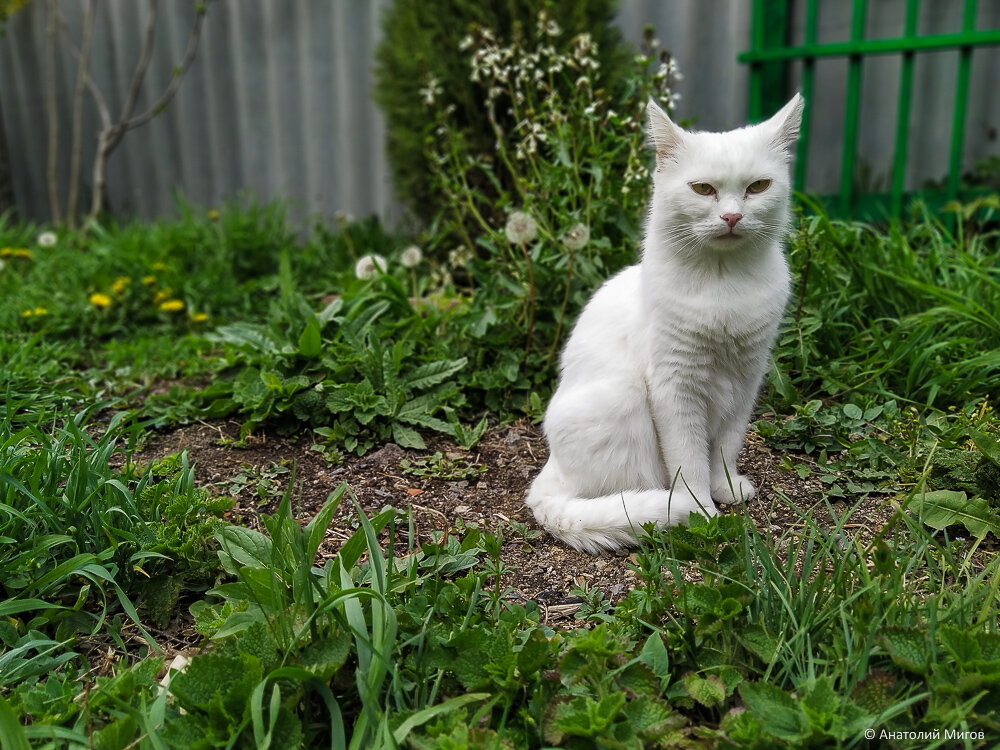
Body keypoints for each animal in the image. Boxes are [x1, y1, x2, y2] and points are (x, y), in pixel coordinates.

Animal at [524, 92, 804, 552]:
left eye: (757, 187)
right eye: (703, 189)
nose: (732, 217)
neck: (723, 282)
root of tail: (549, 473)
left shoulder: (746, 379)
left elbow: (725, 446)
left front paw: (726, 488)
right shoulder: (676, 386)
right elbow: (689, 459)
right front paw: (701, 509)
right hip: (624, 395)